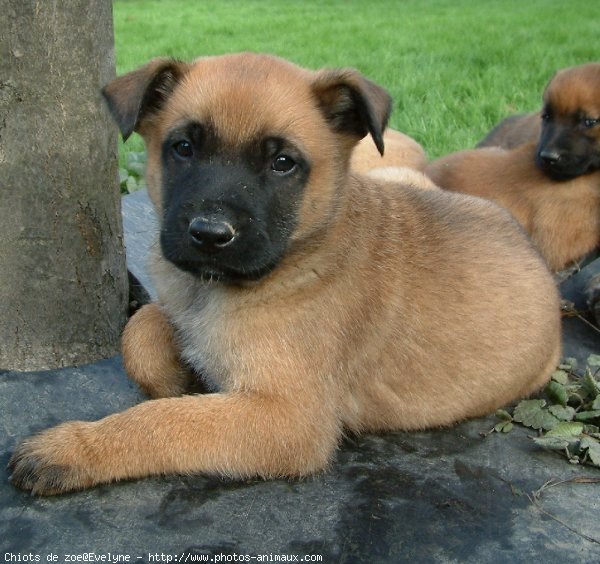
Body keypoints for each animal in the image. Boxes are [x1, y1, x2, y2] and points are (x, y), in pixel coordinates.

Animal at [10, 53, 564, 494]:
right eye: (183, 148)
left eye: (282, 163)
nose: (209, 233)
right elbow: (141, 330)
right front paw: (174, 373)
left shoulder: (287, 420)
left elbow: (165, 420)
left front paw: (75, 449)